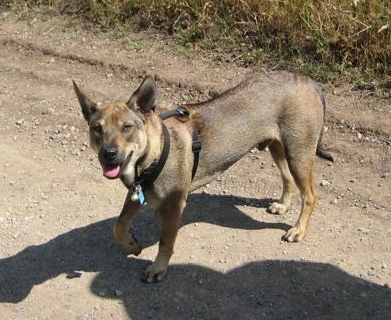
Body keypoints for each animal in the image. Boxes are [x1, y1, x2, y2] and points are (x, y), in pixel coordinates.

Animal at [74, 71, 334, 282]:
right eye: (97, 128)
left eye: (127, 127)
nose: (108, 154)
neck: (154, 152)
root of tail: (310, 82)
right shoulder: (136, 195)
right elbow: (118, 226)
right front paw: (131, 246)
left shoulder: (173, 207)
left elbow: (165, 243)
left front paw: (158, 269)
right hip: (278, 147)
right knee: (287, 178)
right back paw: (283, 204)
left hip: (298, 153)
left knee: (310, 195)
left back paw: (298, 230)